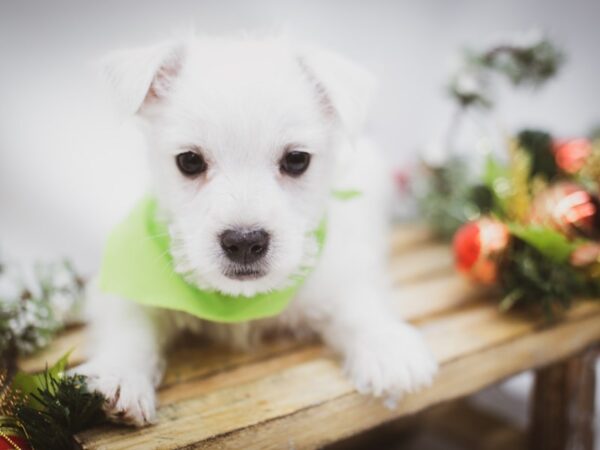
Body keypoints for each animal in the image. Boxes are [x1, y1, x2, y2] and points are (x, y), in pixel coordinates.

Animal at [77, 36, 438, 426]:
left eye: (297, 160)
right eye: (189, 161)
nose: (244, 242)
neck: (238, 303)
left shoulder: (337, 271)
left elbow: (358, 304)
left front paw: (388, 347)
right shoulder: (126, 286)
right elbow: (129, 326)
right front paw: (118, 375)